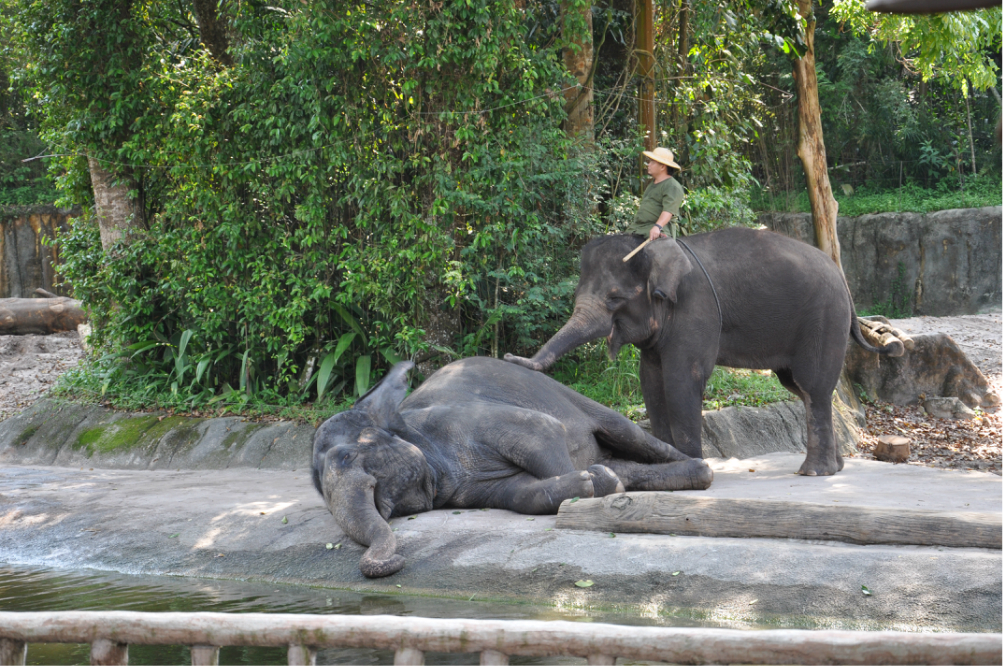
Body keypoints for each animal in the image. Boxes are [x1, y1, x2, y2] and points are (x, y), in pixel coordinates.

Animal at [312, 359, 714, 577]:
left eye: (349, 456)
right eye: (319, 489)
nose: (396, 557)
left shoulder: (464, 420)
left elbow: (541, 431)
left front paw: (594, 487)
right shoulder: (467, 488)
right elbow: (520, 494)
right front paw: (595, 481)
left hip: (567, 393)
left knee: (625, 431)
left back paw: (702, 470)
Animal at [505, 226, 906, 475]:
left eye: (614, 298)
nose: (509, 358)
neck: (656, 250)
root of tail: (843, 280)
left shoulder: (695, 310)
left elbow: (682, 380)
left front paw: (692, 466)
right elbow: (652, 383)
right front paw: (669, 466)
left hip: (823, 318)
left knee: (813, 387)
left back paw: (814, 473)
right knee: (800, 388)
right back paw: (834, 468)